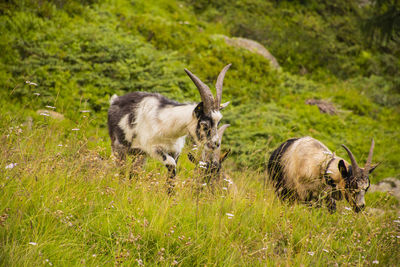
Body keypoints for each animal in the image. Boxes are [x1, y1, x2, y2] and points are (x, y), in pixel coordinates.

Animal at [107, 63, 231, 192]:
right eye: (204, 124)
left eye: (218, 122)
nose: (216, 144)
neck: (167, 127)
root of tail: (115, 100)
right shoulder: (153, 148)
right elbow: (171, 165)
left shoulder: (175, 151)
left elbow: (172, 175)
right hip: (118, 147)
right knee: (120, 168)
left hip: (139, 154)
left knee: (134, 171)